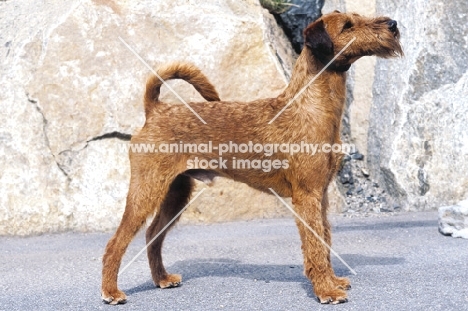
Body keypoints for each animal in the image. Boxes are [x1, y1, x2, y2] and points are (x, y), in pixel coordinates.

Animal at [102, 11, 402, 306]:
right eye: (348, 26)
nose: (393, 24)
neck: (310, 107)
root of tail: (155, 110)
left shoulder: (322, 194)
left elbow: (325, 238)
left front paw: (333, 281)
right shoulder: (307, 195)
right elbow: (316, 245)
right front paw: (326, 291)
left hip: (176, 193)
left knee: (152, 235)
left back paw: (162, 279)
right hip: (146, 190)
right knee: (115, 243)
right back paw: (111, 292)